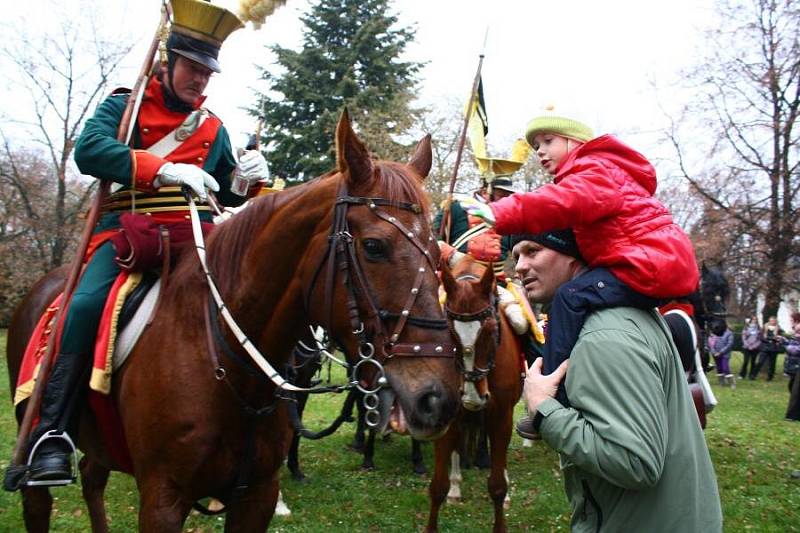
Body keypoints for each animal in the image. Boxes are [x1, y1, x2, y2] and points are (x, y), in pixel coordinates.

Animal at [6, 113, 460, 532]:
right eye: (374, 246)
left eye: (436, 254)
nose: (437, 398)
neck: (226, 363)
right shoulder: (163, 499)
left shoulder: (256, 496)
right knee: (39, 500)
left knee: (92, 478)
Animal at [424, 256, 524, 528]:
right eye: (448, 331)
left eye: (490, 330)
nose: (472, 397)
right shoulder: (448, 417)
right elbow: (437, 486)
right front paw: (450, 489)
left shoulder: (502, 417)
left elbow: (497, 485)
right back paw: (456, 487)